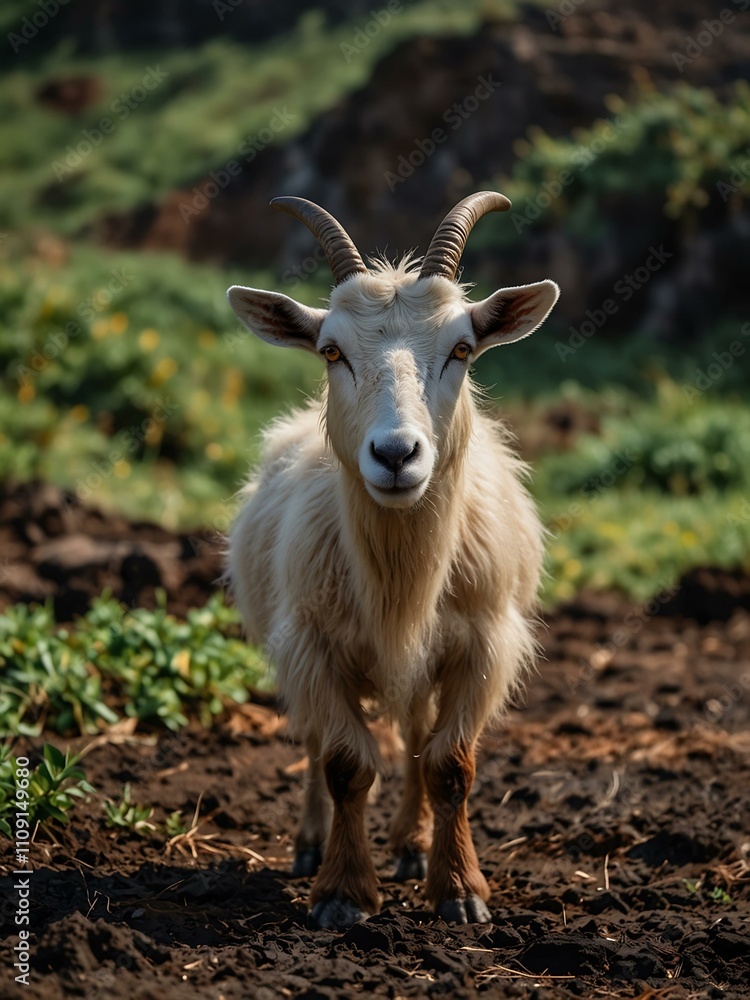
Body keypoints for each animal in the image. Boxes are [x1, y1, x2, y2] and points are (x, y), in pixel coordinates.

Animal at [226, 192, 559, 928]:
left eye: (462, 348)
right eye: (330, 351)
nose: (397, 454)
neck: (401, 576)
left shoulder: (483, 643)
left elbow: (449, 764)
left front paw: (458, 887)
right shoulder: (312, 645)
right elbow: (345, 764)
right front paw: (342, 892)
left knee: (412, 733)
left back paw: (410, 844)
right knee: (317, 742)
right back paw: (310, 843)